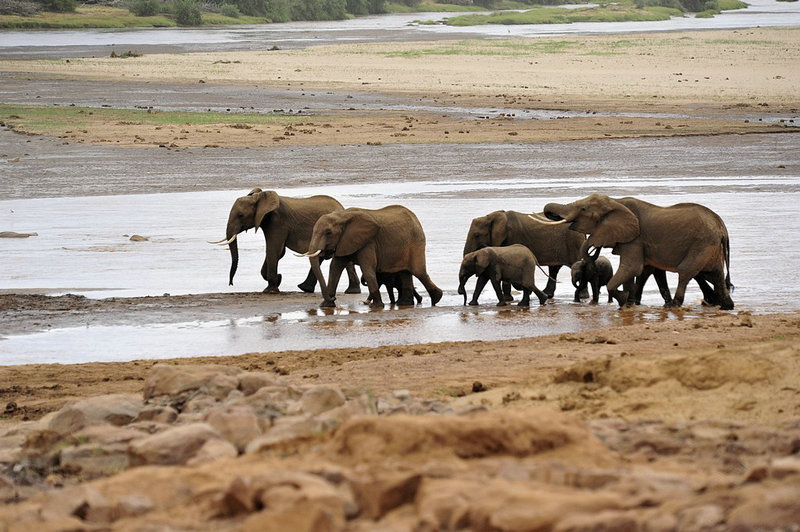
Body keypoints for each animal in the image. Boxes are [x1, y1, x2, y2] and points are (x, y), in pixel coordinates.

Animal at [212, 187, 362, 296]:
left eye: (240, 215)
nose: (231, 284)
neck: (260, 197)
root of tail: (342, 208)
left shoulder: (278, 222)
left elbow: (274, 249)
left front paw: (271, 290)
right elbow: (279, 252)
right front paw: (278, 279)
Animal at [298, 206, 440, 310]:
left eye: (328, 233)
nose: (335, 299)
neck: (342, 216)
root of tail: (415, 218)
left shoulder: (368, 242)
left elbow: (367, 268)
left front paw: (376, 306)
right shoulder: (344, 241)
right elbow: (335, 268)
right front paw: (325, 306)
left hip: (416, 242)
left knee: (418, 272)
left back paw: (436, 298)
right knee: (405, 273)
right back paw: (405, 304)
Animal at [540, 193, 736, 310]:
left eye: (583, 209)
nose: (595, 249)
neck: (616, 202)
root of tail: (721, 226)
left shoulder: (635, 239)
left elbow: (631, 268)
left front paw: (624, 300)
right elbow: (641, 271)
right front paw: (630, 302)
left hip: (702, 244)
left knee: (687, 271)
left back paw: (674, 305)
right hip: (710, 247)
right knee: (715, 274)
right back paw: (726, 306)